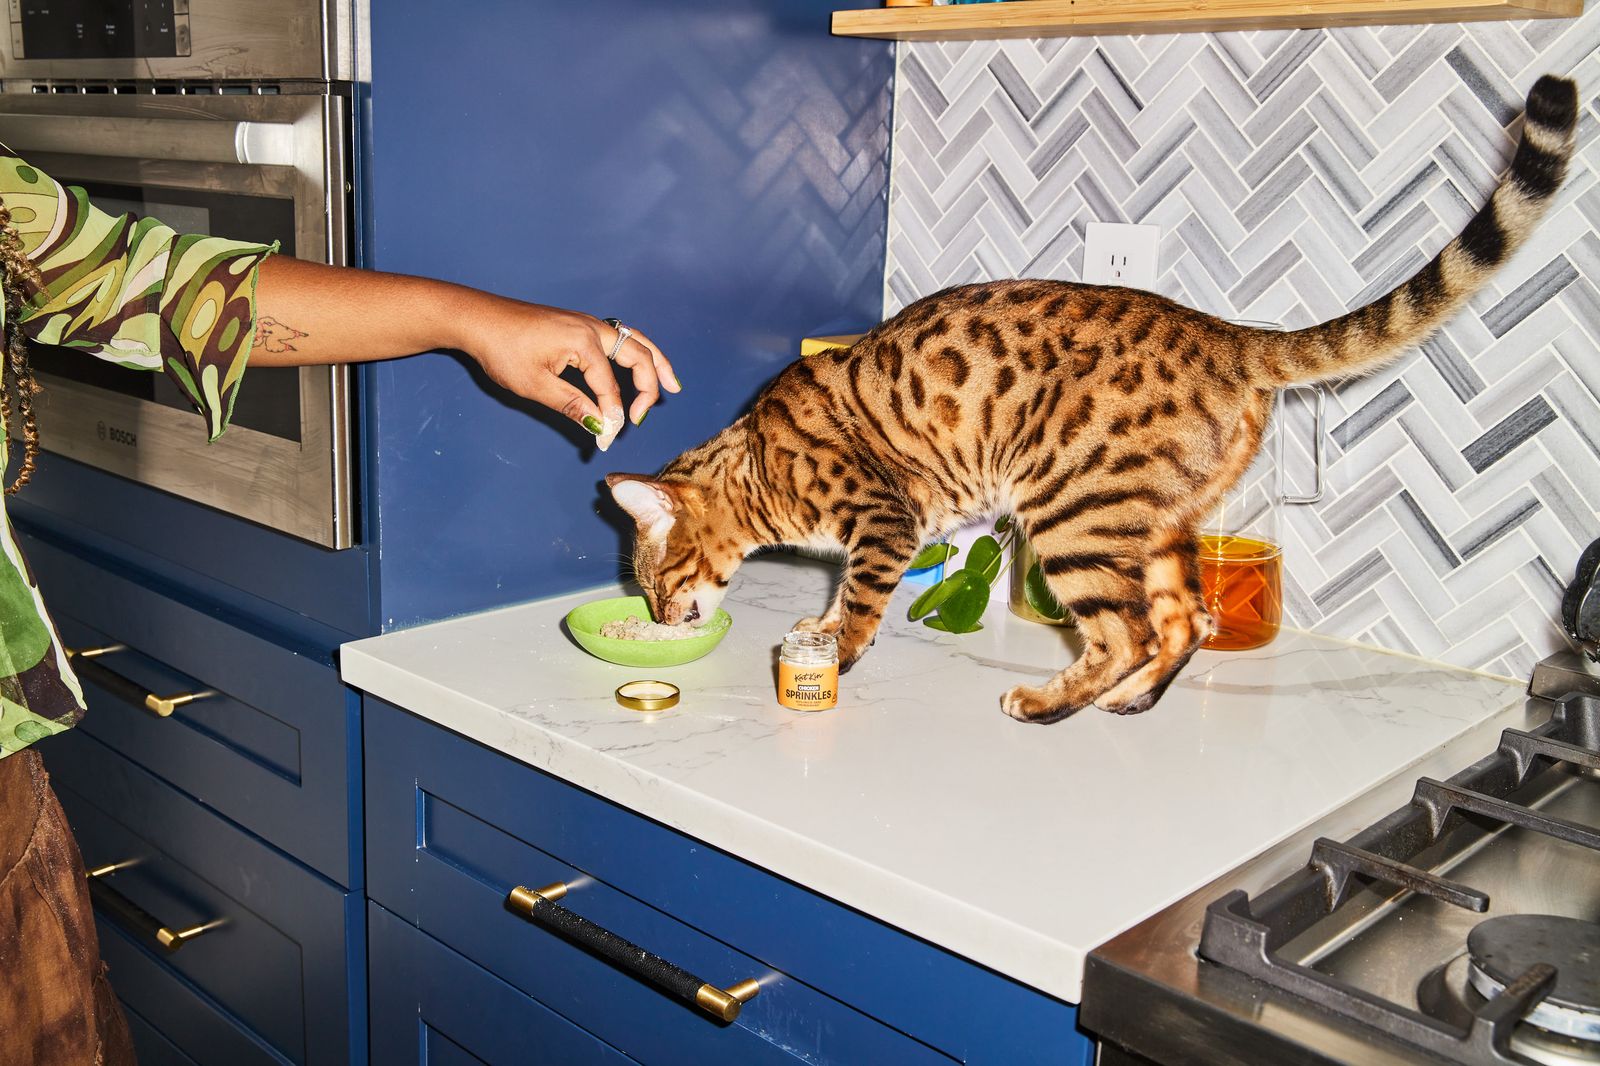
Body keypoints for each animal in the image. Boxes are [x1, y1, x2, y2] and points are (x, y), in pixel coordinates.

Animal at [604, 74, 1580, 723]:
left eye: (654, 580)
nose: (654, 616)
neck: (761, 466)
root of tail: (1225, 330)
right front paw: (820, 624)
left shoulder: (883, 519)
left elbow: (863, 602)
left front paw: (833, 650)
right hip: (1152, 521)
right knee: (1185, 619)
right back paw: (1127, 703)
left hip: (1070, 512)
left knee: (1130, 632)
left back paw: (1046, 704)